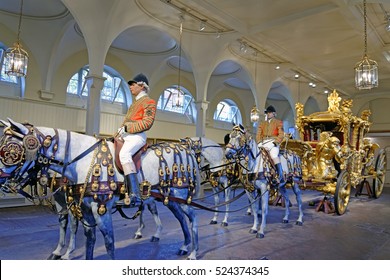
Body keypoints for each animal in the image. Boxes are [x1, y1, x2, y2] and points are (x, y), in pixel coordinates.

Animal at [0, 118, 201, 260]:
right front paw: (61, 252)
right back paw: (184, 246)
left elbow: (108, 243)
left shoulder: (99, 210)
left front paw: (65, 253)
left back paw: (193, 252)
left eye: (12, 150)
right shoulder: (81, 208)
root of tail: (185, 149)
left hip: (180, 194)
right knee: (181, 218)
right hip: (169, 198)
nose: (2, 181)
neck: (81, 160)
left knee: (192, 217)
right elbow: (87, 239)